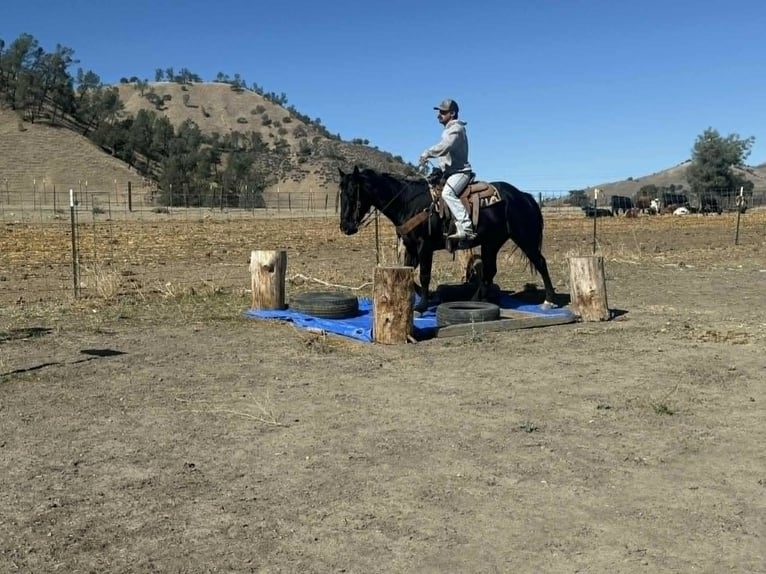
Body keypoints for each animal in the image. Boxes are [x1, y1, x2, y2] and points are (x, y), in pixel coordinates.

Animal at [337, 166, 557, 313]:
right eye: (340, 195)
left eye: (353, 193)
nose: (346, 227)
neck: (409, 203)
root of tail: (524, 196)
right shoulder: (410, 247)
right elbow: (408, 272)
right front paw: (426, 297)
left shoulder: (424, 247)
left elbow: (424, 275)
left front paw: (422, 305)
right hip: (491, 242)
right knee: (490, 270)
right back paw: (477, 300)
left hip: (525, 238)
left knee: (541, 263)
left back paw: (549, 300)